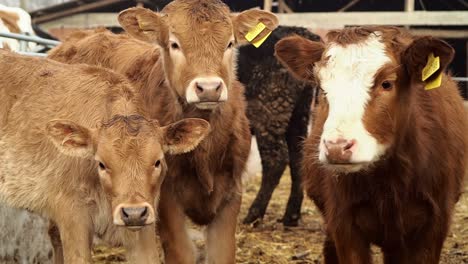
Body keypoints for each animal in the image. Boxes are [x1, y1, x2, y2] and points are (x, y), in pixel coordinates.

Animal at [239, 25, 320, 226]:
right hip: (298, 114)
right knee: (297, 157)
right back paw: (291, 216)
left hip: (269, 112)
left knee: (276, 160)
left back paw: (254, 214)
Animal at [276, 26, 466, 264]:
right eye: (321, 86)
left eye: (386, 83)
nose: (337, 147)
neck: (391, 180)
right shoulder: (343, 223)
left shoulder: (434, 224)